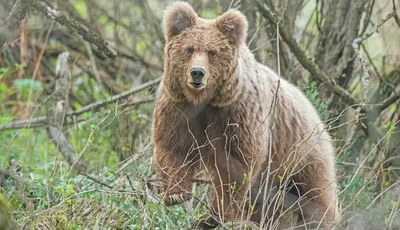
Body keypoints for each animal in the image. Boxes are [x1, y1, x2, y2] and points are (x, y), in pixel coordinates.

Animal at [152, 1, 340, 228]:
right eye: (189, 49)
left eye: (212, 52)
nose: (197, 73)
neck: (204, 100)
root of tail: (315, 112)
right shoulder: (178, 106)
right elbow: (174, 147)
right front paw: (176, 195)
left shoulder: (239, 113)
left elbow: (237, 164)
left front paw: (221, 213)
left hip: (303, 153)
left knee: (316, 195)